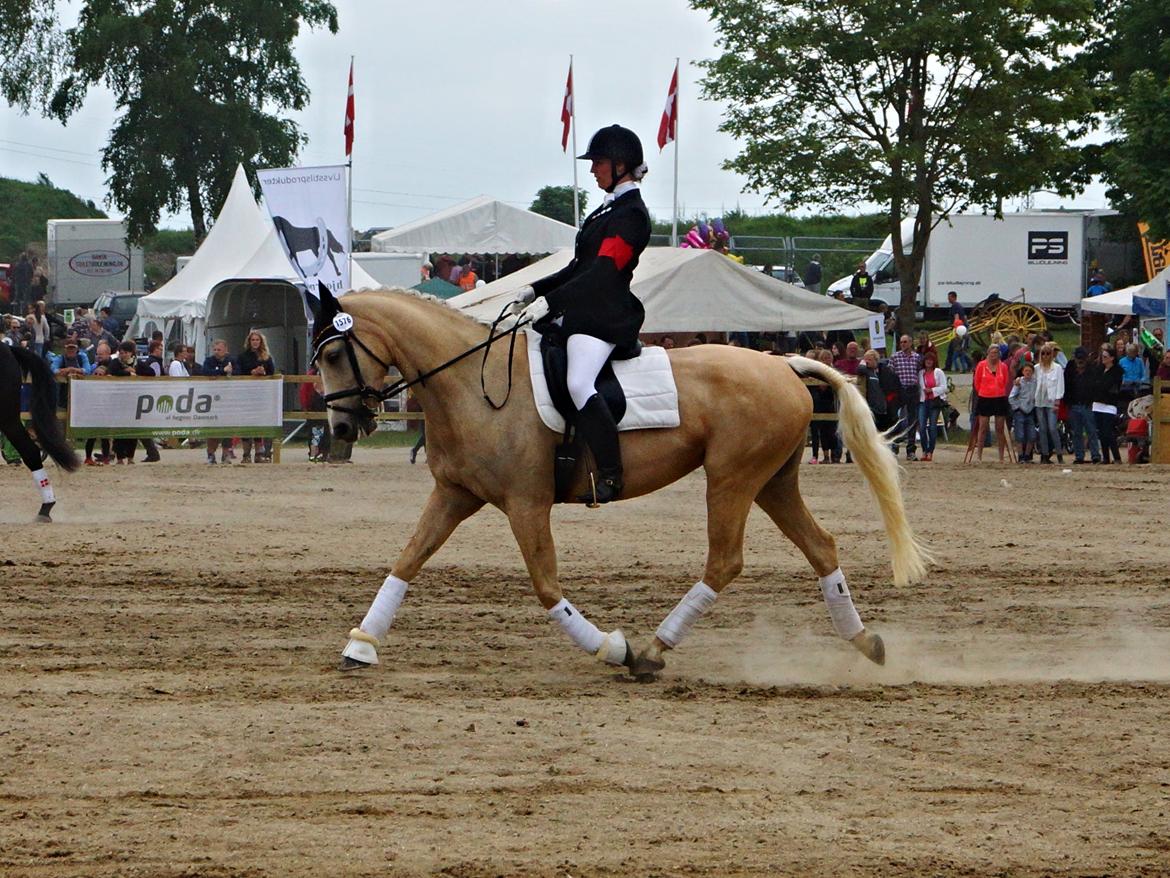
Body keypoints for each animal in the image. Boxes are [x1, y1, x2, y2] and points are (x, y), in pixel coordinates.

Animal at [313, 289, 931, 678]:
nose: (340, 428)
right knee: (820, 547)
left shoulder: (526, 503)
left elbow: (546, 586)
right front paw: (360, 646)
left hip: (732, 478)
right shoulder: (454, 495)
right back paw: (866, 643)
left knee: (725, 561)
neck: (472, 382)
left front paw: (613, 648)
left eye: (337, 351)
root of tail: (781, 364)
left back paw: (652, 650)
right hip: (773, 482)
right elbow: (407, 560)